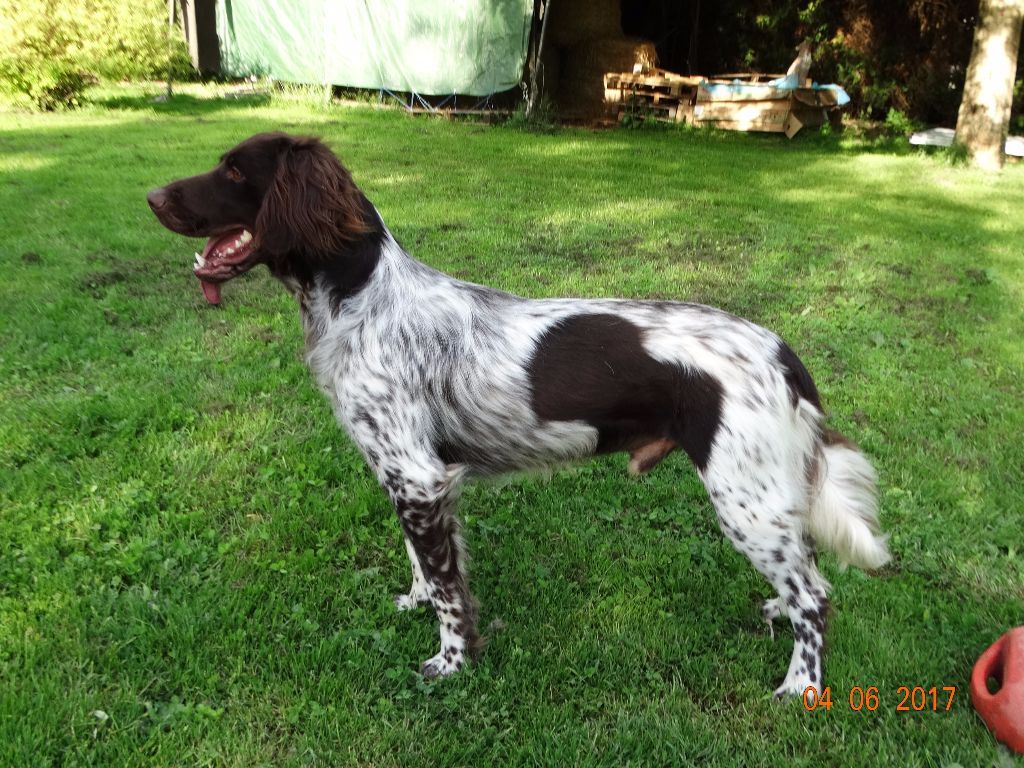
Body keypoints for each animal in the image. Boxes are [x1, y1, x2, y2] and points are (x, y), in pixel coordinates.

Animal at [146, 134, 888, 704]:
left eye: (235, 171)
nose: (152, 198)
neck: (364, 301)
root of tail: (780, 350)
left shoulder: (418, 479)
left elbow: (452, 596)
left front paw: (451, 662)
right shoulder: (414, 481)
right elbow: (427, 568)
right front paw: (417, 601)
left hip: (742, 498)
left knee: (817, 595)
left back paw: (801, 685)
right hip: (767, 496)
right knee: (805, 567)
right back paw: (776, 611)